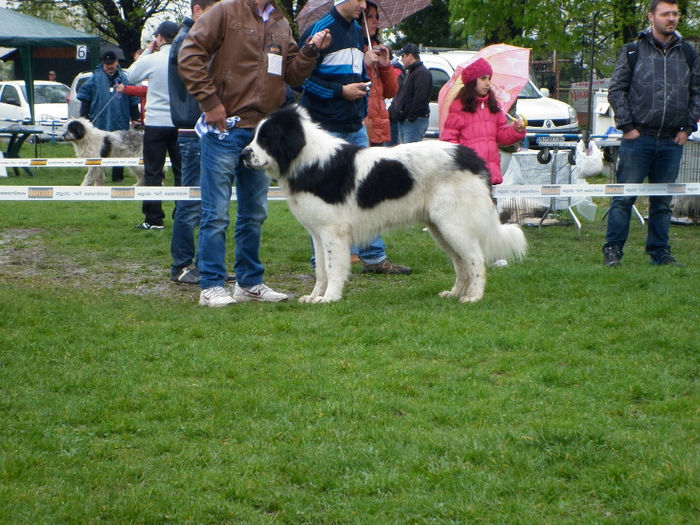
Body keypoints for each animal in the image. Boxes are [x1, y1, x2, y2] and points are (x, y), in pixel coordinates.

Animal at [243, 105, 528, 302]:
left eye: (267, 138)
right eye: (256, 136)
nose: (244, 154)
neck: (307, 159)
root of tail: (471, 156)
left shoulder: (333, 233)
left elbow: (333, 268)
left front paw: (329, 298)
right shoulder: (317, 233)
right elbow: (321, 270)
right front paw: (315, 296)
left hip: (453, 226)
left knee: (476, 260)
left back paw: (473, 297)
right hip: (440, 229)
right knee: (461, 263)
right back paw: (455, 293)